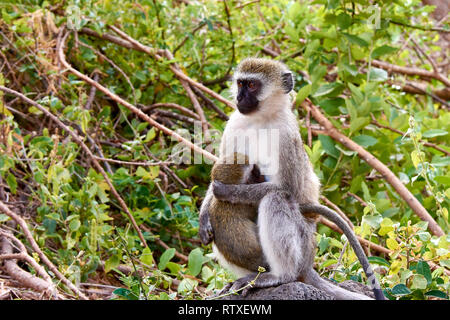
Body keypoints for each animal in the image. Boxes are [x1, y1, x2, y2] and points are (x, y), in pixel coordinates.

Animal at [199, 57, 384, 300]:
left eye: (252, 85)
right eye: (240, 83)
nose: (239, 98)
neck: (261, 119)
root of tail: (307, 264)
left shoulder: (286, 136)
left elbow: (288, 188)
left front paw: (227, 192)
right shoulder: (234, 124)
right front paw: (203, 216)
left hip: (303, 243)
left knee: (276, 198)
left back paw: (280, 275)